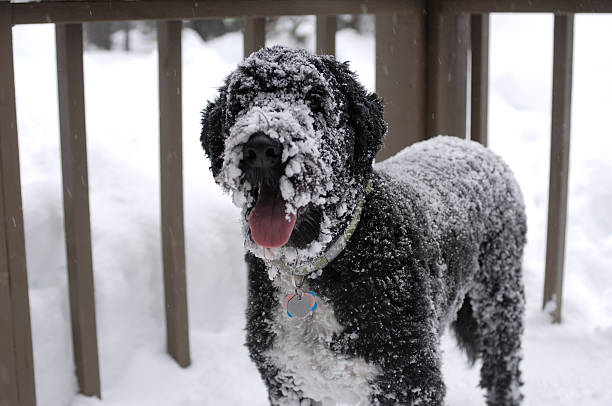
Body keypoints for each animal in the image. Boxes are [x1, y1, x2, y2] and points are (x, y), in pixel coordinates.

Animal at [201, 46, 524, 406]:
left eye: (315, 100)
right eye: (240, 102)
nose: (260, 146)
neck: (313, 270)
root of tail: (468, 144)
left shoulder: (411, 381)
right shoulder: (287, 382)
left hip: (500, 294)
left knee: (503, 369)